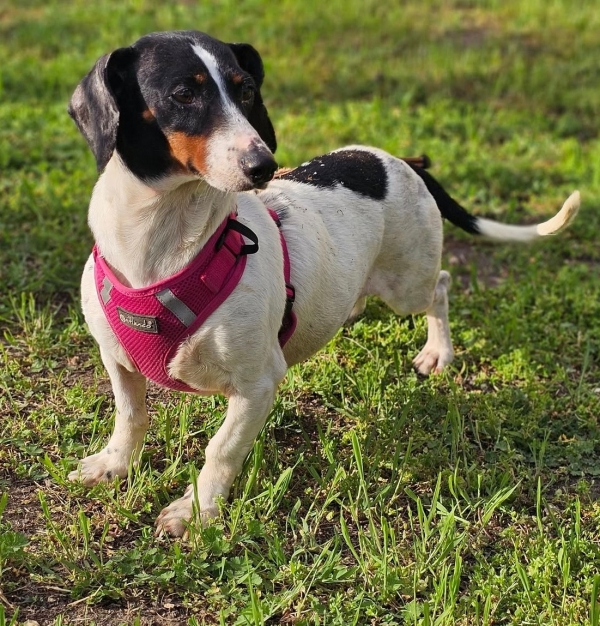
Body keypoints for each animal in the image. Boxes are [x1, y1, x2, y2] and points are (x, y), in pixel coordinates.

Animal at [67, 30, 580, 537]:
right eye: (183, 94)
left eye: (245, 89)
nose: (263, 165)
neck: (161, 250)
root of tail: (399, 159)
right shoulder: (117, 359)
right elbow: (130, 415)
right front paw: (114, 464)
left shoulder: (257, 383)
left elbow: (222, 449)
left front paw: (196, 510)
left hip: (408, 286)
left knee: (441, 287)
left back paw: (438, 352)